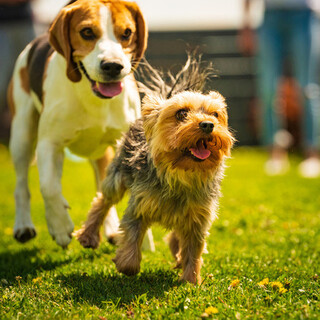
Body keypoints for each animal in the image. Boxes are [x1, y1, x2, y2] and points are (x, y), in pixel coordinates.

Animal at [7, 0, 150, 248]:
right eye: (87, 32)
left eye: (127, 33)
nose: (113, 66)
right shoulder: (49, 144)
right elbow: (48, 186)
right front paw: (60, 227)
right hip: (21, 135)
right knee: (22, 184)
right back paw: (23, 226)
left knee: (102, 187)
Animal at [76, 57, 234, 282]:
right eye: (181, 113)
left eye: (215, 114)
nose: (208, 124)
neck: (181, 174)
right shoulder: (139, 206)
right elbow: (132, 236)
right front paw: (125, 264)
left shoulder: (198, 217)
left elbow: (193, 249)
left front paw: (191, 280)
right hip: (118, 174)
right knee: (103, 200)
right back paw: (88, 236)